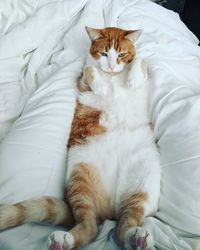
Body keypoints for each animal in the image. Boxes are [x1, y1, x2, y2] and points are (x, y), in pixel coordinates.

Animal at [0, 26, 161, 249]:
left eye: (121, 54)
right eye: (104, 54)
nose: (112, 66)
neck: (111, 77)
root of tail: (110, 213)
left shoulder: (143, 75)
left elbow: (141, 60)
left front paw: (133, 77)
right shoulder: (82, 85)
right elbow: (88, 71)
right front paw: (101, 85)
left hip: (144, 183)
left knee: (124, 226)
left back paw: (136, 238)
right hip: (81, 180)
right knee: (90, 227)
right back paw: (64, 240)